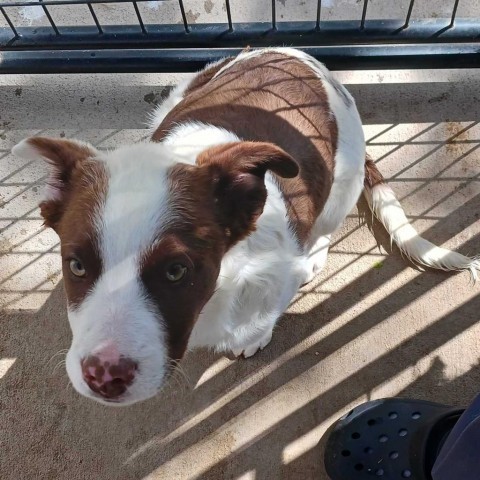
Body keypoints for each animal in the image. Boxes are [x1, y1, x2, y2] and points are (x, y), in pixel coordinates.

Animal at [12, 47, 480, 404]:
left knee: (325, 225)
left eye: (177, 270)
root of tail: (302, 56)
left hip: (342, 181)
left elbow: (267, 309)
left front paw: (253, 336)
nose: (104, 378)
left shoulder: (278, 270)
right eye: (75, 265)